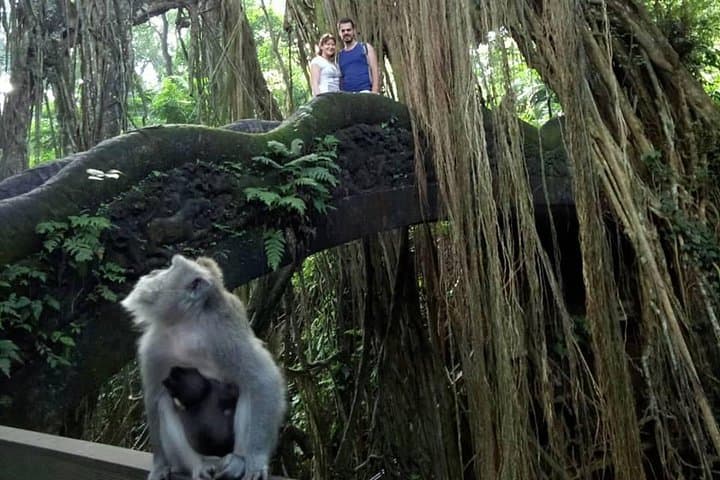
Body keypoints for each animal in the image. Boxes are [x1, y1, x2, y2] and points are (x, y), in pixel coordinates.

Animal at [121, 255, 287, 480]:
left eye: (170, 266)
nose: (153, 272)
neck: (186, 324)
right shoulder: (154, 346)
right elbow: (154, 397)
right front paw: (160, 465)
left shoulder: (224, 335)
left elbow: (264, 379)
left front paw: (256, 460)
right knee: (163, 403)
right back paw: (198, 465)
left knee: (249, 390)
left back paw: (239, 460)